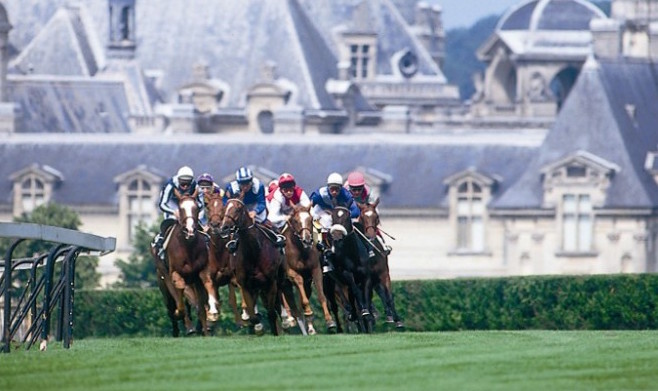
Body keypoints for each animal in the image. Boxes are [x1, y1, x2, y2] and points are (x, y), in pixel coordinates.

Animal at [163, 190, 209, 336]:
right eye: (181, 208)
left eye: (197, 208)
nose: (190, 230)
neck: (188, 246)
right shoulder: (175, 274)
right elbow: (180, 305)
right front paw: (180, 316)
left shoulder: (199, 275)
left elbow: (201, 306)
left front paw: (206, 332)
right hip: (163, 282)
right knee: (172, 305)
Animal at [204, 191, 242, 330]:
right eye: (208, 207)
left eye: (223, 208)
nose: (215, 225)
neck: (218, 253)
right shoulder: (209, 277)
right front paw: (212, 316)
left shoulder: (232, 277)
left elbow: (233, 298)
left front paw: (242, 320)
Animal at [218, 194, 294, 336]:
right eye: (225, 208)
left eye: (238, 208)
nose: (224, 227)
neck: (254, 251)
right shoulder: (245, 285)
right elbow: (253, 316)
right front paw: (257, 325)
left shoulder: (271, 282)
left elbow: (271, 312)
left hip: (279, 278)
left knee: (279, 296)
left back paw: (286, 319)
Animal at [280, 204, 336, 336]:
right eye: (295, 221)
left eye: (310, 220)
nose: (307, 240)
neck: (301, 251)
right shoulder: (292, 273)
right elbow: (303, 300)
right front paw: (307, 313)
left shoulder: (316, 270)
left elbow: (321, 296)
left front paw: (329, 321)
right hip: (284, 281)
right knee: (286, 299)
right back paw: (288, 320)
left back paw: (308, 327)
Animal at [356, 198, 402, 330]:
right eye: (362, 217)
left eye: (376, 216)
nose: (370, 235)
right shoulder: (367, 278)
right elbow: (366, 297)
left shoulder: (384, 273)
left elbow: (388, 296)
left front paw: (397, 320)